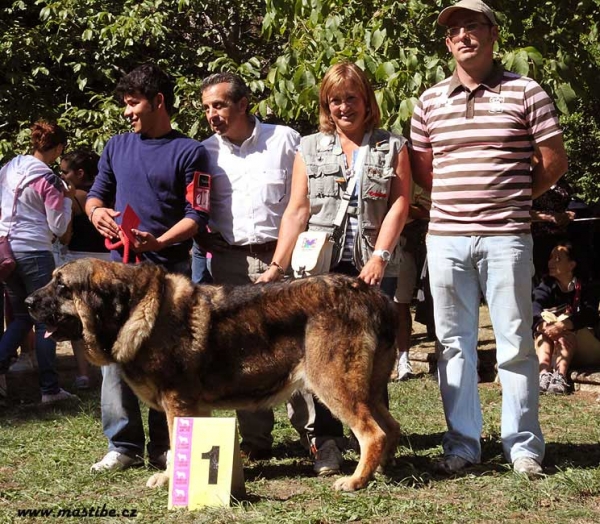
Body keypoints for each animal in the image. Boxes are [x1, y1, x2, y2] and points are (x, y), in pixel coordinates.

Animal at [29, 260, 404, 494]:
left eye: (62, 286)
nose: (29, 301)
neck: (135, 309)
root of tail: (373, 294)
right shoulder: (195, 408)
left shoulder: (177, 404)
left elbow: (174, 444)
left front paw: (170, 479)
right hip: (368, 390)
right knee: (390, 427)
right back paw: (379, 470)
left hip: (335, 387)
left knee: (372, 433)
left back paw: (355, 481)